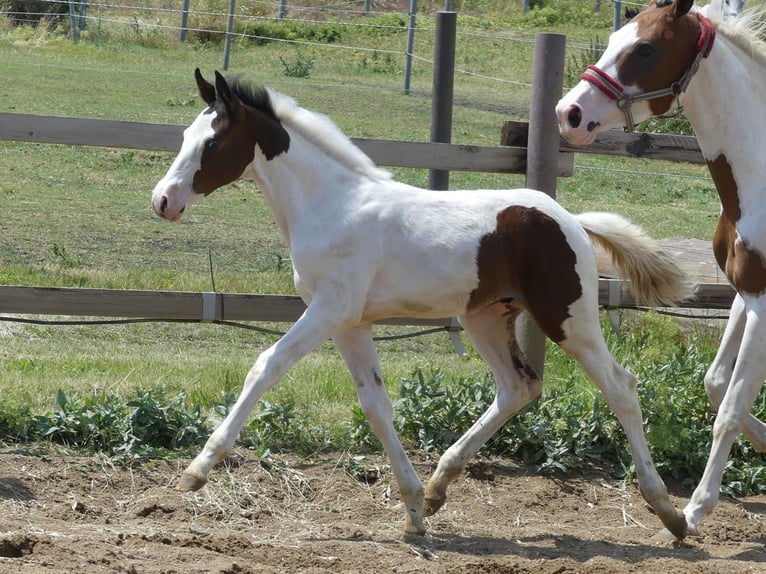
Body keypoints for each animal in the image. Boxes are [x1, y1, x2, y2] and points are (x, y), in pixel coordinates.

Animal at [152, 68, 688, 540]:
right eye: (185, 135)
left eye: (212, 144)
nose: (162, 201)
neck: (330, 205)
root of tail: (570, 219)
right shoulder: (351, 323)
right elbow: (375, 405)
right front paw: (412, 510)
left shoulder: (329, 309)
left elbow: (266, 366)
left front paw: (197, 470)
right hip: (484, 318)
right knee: (518, 387)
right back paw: (437, 488)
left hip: (567, 317)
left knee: (620, 387)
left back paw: (669, 512)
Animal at [560, 0, 766, 544]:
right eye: (614, 39)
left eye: (646, 48)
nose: (568, 114)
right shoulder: (744, 293)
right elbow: (717, 385)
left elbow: (730, 408)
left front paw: (694, 509)